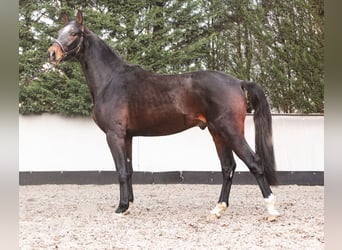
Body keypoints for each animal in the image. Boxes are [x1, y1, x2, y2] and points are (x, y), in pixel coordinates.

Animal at [46, 10, 280, 220]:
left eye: (74, 33)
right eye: (59, 31)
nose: (52, 54)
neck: (111, 80)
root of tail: (238, 82)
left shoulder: (114, 135)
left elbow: (120, 170)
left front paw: (121, 207)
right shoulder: (127, 136)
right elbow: (129, 170)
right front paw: (129, 204)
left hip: (230, 131)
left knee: (254, 163)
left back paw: (271, 210)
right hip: (217, 133)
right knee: (228, 167)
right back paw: (218, 209)